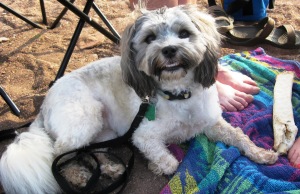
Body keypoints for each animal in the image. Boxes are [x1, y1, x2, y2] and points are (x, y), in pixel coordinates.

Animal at [0, 5, 278, 193]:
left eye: (184, 33)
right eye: (150, 38)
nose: (169, 49)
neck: (180, 95)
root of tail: (45, 102)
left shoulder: (211, 123)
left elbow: (238, 137)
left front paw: (261, 154)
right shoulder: (143, 136)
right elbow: (170, 162)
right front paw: (159, 165)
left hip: (105, 130)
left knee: (91, 150)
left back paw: (109, 168)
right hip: (85, 118)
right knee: (60, 154)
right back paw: (79, 176)